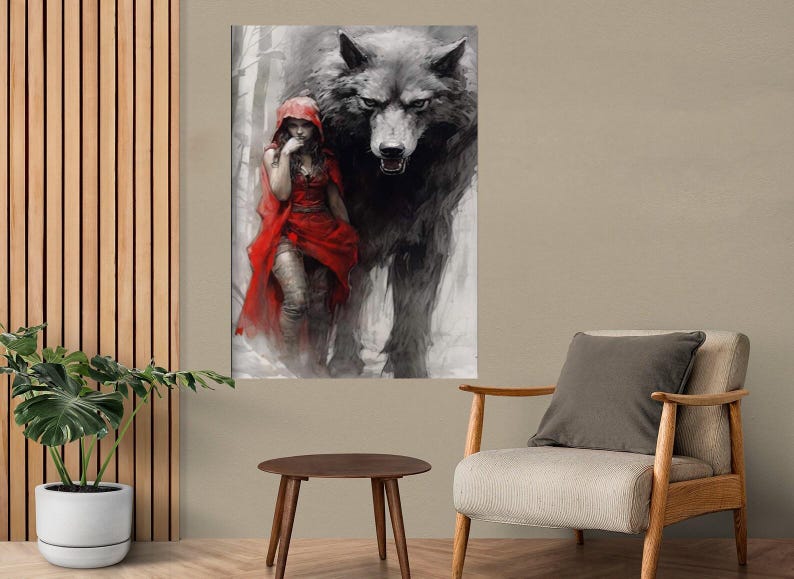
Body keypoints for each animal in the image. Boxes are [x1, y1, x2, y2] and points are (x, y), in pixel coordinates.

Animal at [284, 26, 478, 378]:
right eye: (369, 102)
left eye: (419, 104)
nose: (391, 150)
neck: (389, 186)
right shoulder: (346, 234)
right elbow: (340, 302)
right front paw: (333, 366)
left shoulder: (428, 232)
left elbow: (414, 307)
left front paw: (410, 369)